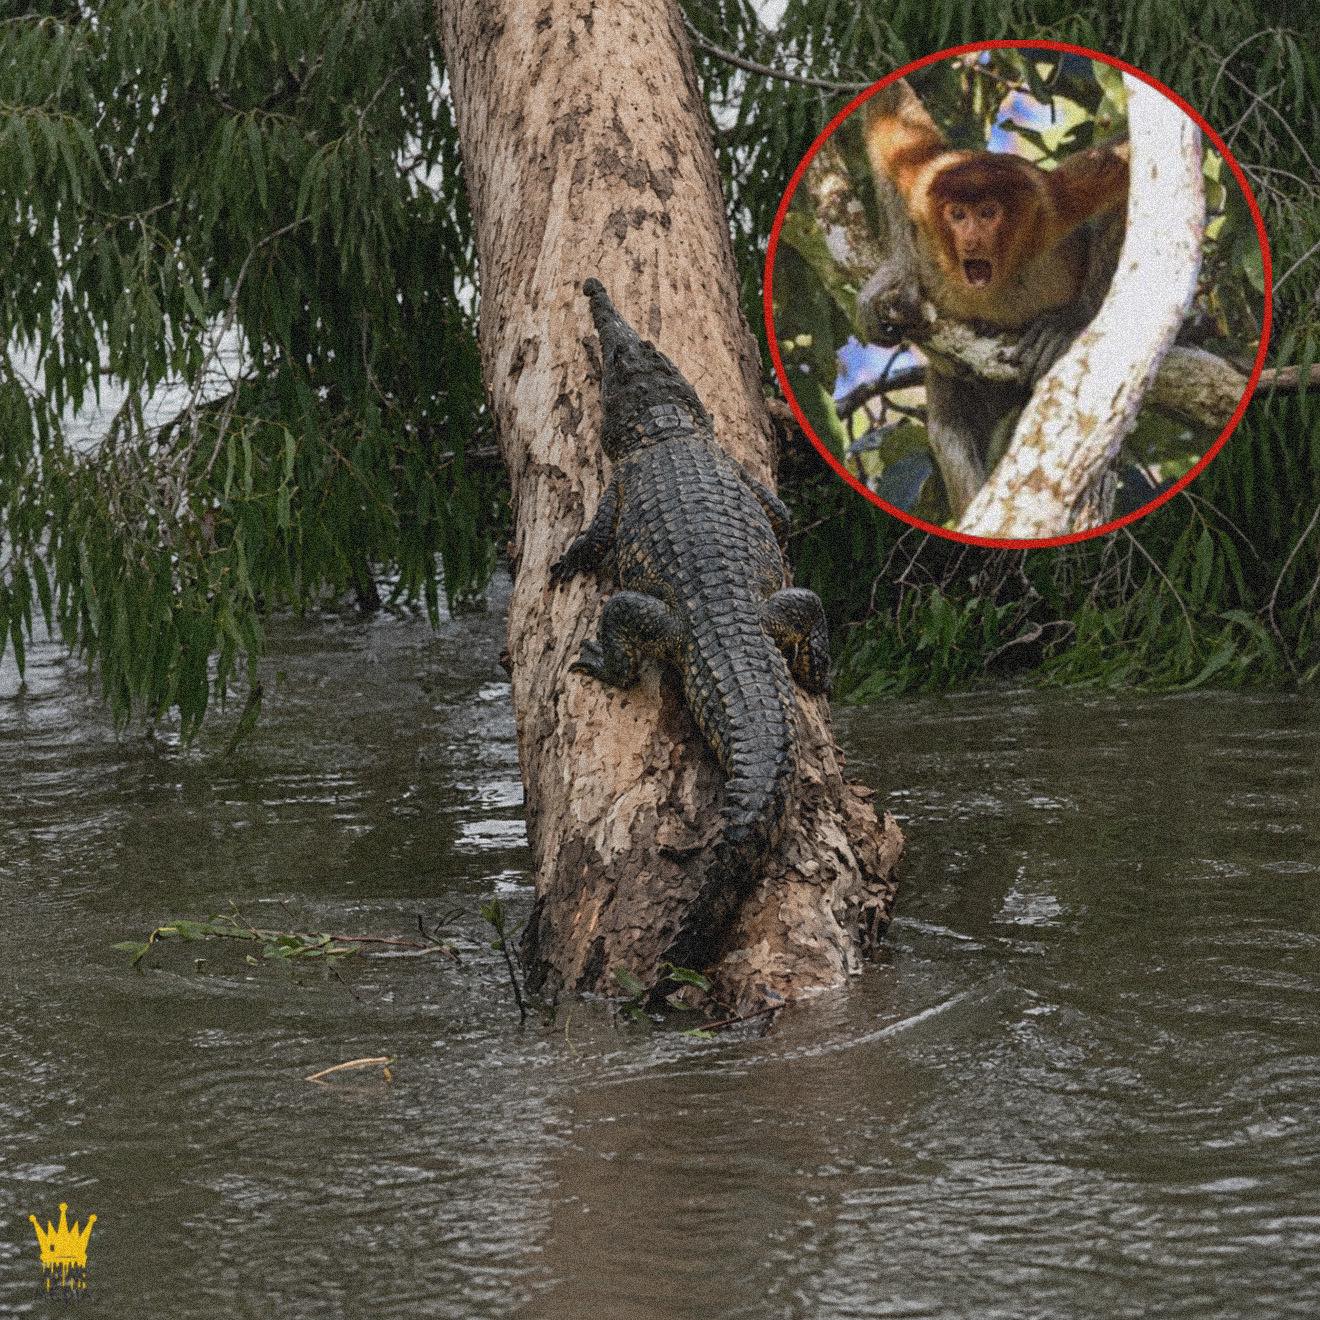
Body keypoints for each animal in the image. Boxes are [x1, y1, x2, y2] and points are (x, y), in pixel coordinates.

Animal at [856, 77, 1129, 519]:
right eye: (958, 215)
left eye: (987, 212)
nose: (971, 241)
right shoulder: (923, 185)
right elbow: (891, 122)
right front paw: (896, 277)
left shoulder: (1051, 207)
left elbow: (1126, 171)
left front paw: (1071, 320)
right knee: (948, 425)